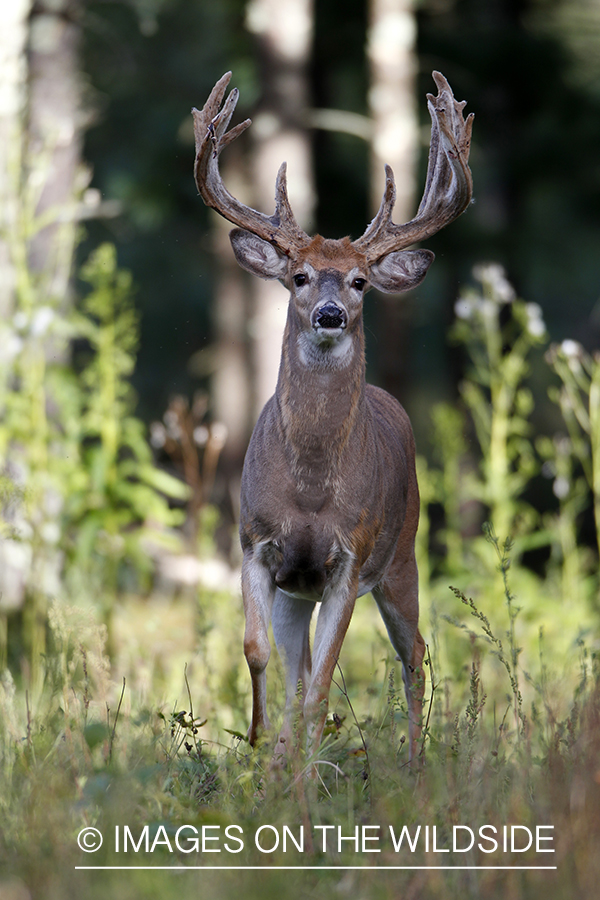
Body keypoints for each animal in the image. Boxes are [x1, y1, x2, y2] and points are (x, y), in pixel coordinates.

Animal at [192, 72, 474, 772]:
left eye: (359, 281)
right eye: (297, 275)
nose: (328, 314)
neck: (312, 490)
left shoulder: (352, 555)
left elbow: (323, 682)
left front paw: (297, 773)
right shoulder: (254, 543)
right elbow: (260, 654)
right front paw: (261, 752)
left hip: (403, 555)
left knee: (415, 652)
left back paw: (413, 764)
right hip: (302, 588)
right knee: (299, 663)